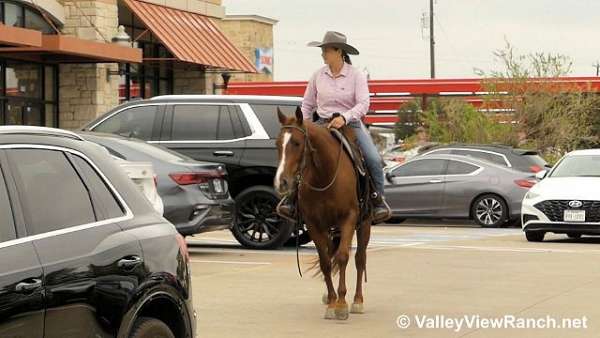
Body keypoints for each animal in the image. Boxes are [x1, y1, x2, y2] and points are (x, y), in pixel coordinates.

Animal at [276, 107, 370, 320]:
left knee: (360, 258)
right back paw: (329, 297)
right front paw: (332, 301)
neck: (324, 175)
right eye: (277, 144)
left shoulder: (349, 218)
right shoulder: (314, 224)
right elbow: (326, 261)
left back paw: (358, 300)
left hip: (364, 224)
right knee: (331, 252)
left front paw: (342, 304)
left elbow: (343, 257)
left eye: (297, 143)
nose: (282, 182)